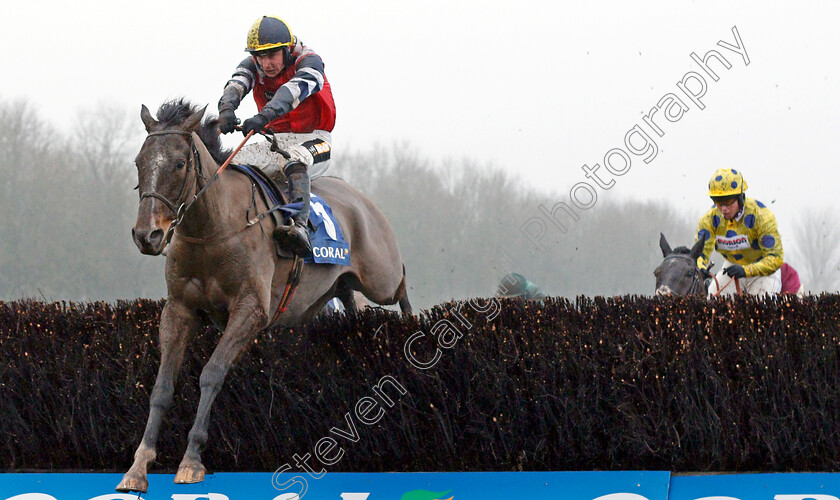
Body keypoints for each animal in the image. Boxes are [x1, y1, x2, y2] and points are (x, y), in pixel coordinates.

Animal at [116, 100, 412, 492]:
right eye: (139, 161)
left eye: (179, 163)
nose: (147, 235)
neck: (213, 229)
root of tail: (361, 199)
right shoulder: (179, 309)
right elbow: (163, 386)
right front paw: (138, 466)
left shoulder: (250, 311)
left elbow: (211, 373)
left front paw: (191, 460)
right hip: (342, 286)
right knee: (351, 302)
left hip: (382, 276)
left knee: (402, 284)